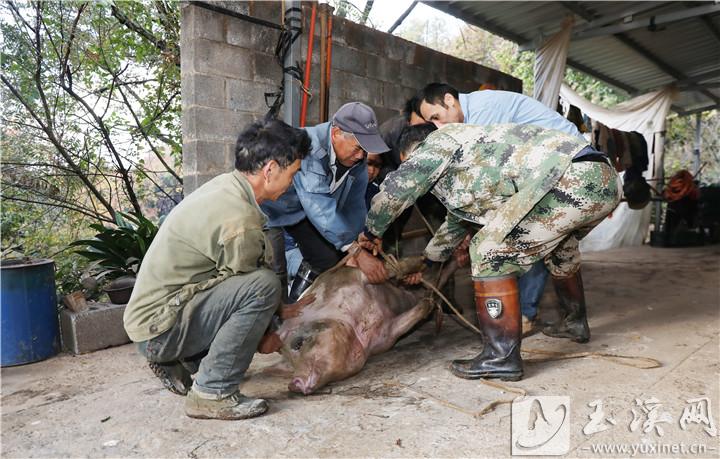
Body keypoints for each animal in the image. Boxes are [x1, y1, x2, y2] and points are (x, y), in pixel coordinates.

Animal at [276, 258, 436, 396]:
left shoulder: (354, 275)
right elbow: (407, 320)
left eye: (298, 343)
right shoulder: (386, 336)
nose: (293, 384)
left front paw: (422, 268)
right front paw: (429, 302)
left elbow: (390, 268)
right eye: (291, 364)